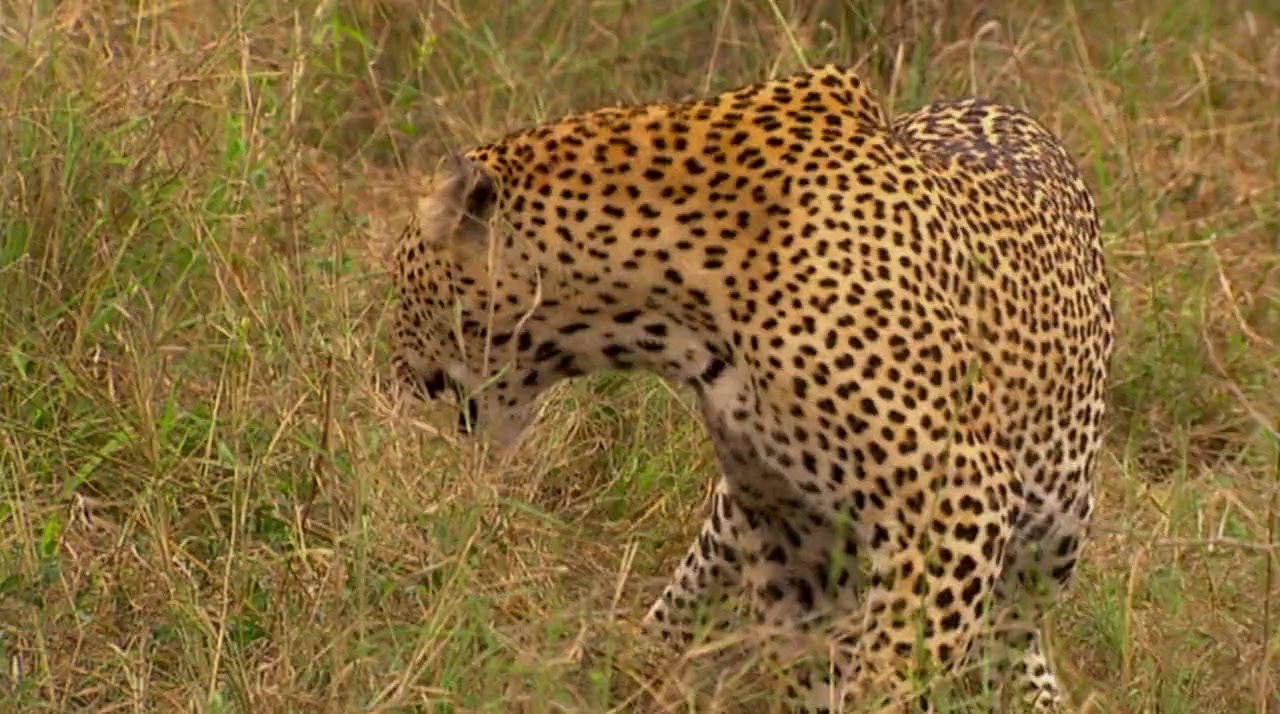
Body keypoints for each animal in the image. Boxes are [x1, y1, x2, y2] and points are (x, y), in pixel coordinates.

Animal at [389, 64, 1115, 713]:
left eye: (400, 280)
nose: (396, 374)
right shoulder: (791, 526)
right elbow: (810, 667)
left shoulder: (955, 496)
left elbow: (898, 667)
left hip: (1053, 529)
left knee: (1011, 635)